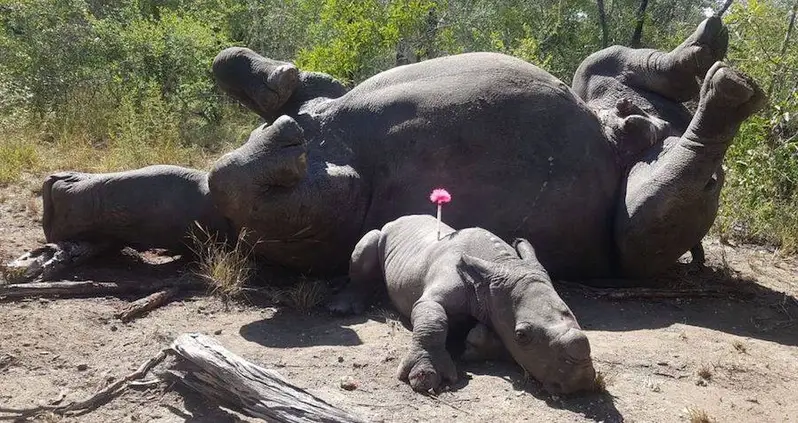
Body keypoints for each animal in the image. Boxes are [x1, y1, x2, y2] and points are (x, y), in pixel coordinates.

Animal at [328, 215, 596, 394]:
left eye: (575, 318)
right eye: (522, 335)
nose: (579, 383)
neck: (502, 265)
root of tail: (396, 219)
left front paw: (476, 343)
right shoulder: (435, 295)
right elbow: (433, 318)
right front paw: (425, 378)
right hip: (381, 233)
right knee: (367, 244)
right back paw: (342, 308)